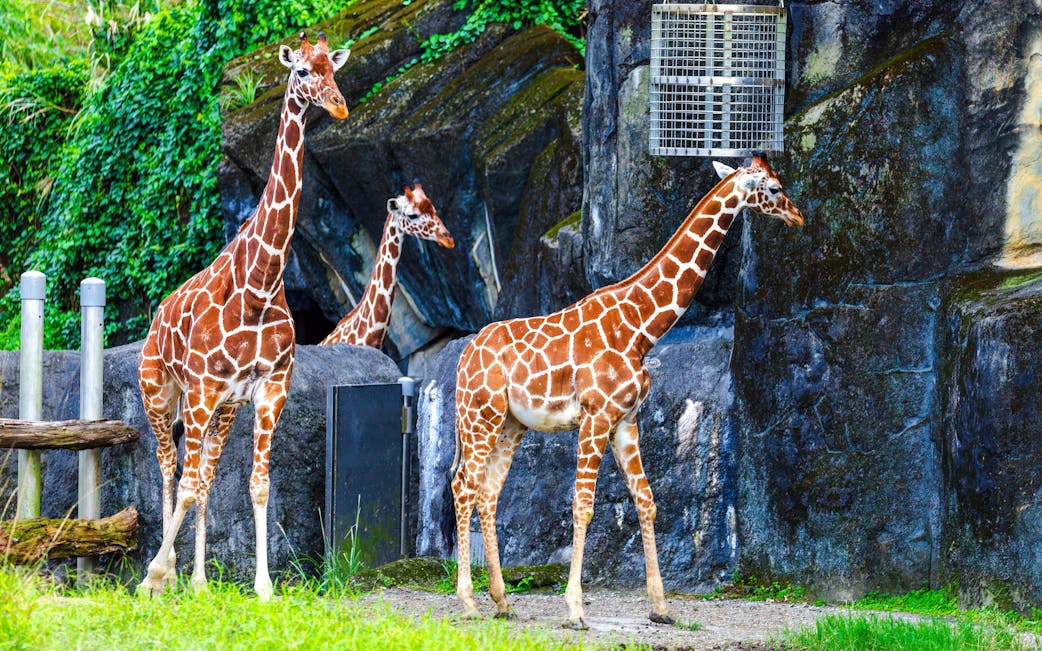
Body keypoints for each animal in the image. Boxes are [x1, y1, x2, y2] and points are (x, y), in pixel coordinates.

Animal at [135, 32, 350, 601]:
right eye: (301, 71)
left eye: (333, 68)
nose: (338, 104)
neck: (260, 283)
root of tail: (155, 318)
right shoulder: (203, 388)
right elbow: (186, 483)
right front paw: (154, 575)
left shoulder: (268, 388)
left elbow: (257, 484)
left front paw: (263, 586)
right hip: (160, 391)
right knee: (169, 467)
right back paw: (163, 575)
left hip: (221, 411)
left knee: (204, 477)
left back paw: (198, 582)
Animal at [452, 154, 804, 627]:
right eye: (773, 187)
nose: (798, 216)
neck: (640, 329)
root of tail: (462, 358)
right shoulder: (596, 416)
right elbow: (583, 505)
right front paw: (574, 609)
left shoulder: (626, 420)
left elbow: (647, 500)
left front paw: (660, 607)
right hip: (480, 417)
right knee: (463, 487)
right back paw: (470, 602)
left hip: (510, 424)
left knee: (487, 493)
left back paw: (502, 601)